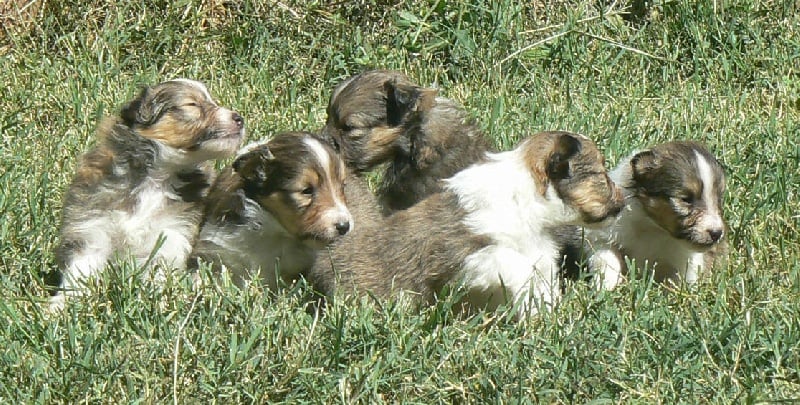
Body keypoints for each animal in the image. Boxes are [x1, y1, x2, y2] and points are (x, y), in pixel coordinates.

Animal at [50, 78, 244, 306]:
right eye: (192, 104)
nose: (239, 118)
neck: (156, 178)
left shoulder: (172, 234)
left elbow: (159, 274)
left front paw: (157, 302)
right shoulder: (92, 225)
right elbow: (80, 271)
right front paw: (62, 304)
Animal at [310, 131, 628, 318]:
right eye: (601, 175)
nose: (624, 202)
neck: (523, 202)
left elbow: (541, 285)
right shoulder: (461, 254)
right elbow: (513, 262)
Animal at [584, 140, 728, 288]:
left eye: (719, 199)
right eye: (686, 199)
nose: (717, 233)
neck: (653, 227)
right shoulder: (603, 237)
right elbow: (607, 259)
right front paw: (605, 286)